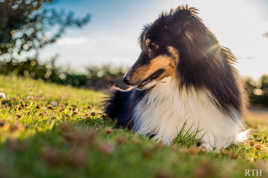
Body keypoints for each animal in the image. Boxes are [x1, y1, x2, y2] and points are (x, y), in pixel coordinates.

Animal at [104, 5, 249, 150]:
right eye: (143, 46)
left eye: (152, 46)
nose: (125, 79)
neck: (183, 85)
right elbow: (160, 135)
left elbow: (211, 140)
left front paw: (205, 146)